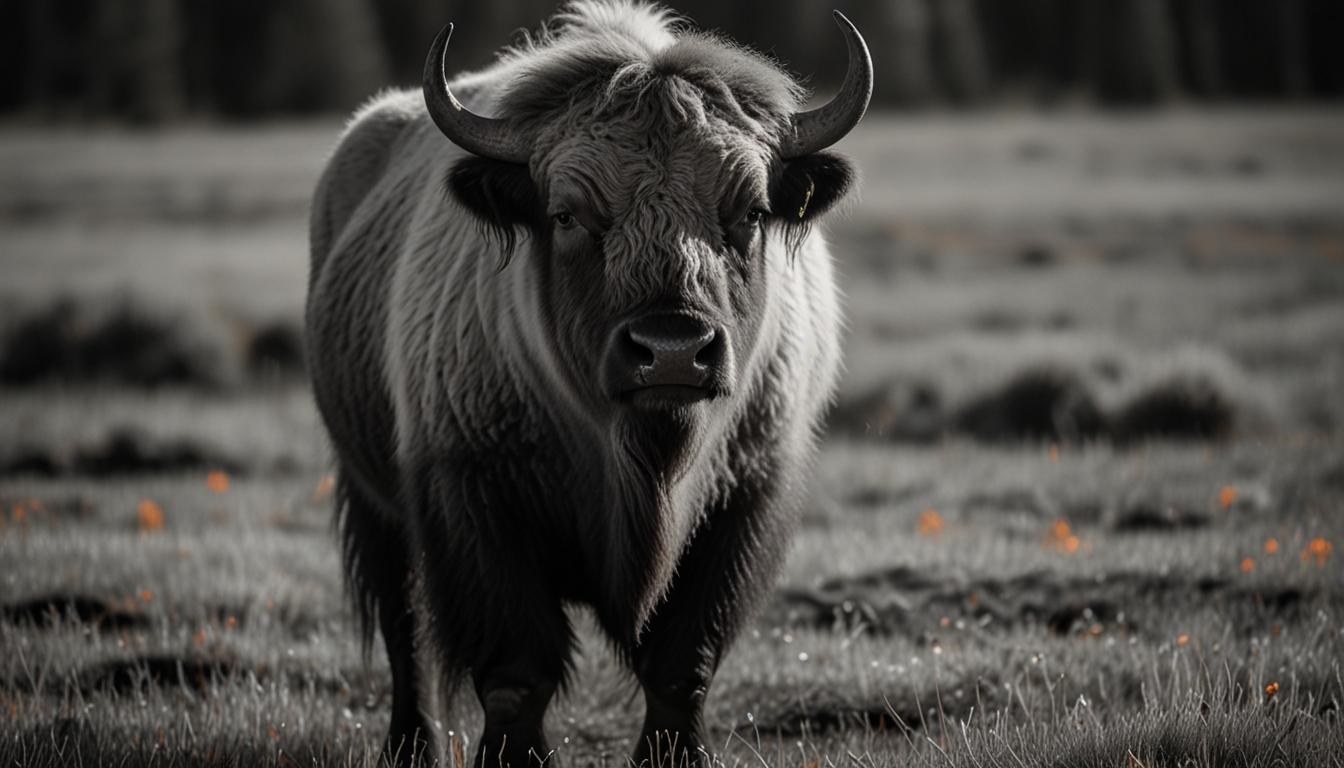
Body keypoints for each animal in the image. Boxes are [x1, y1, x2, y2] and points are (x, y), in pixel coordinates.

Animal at [306, 2, 870, 765]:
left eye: (751, 210)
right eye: (567, 213)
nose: (672, 351)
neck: (640, 461)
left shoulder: (746, 500)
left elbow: (681, 666)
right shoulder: (473, 502)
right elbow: (517, 673)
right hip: (373, 503)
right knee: (404, 633)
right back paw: (410, 747)